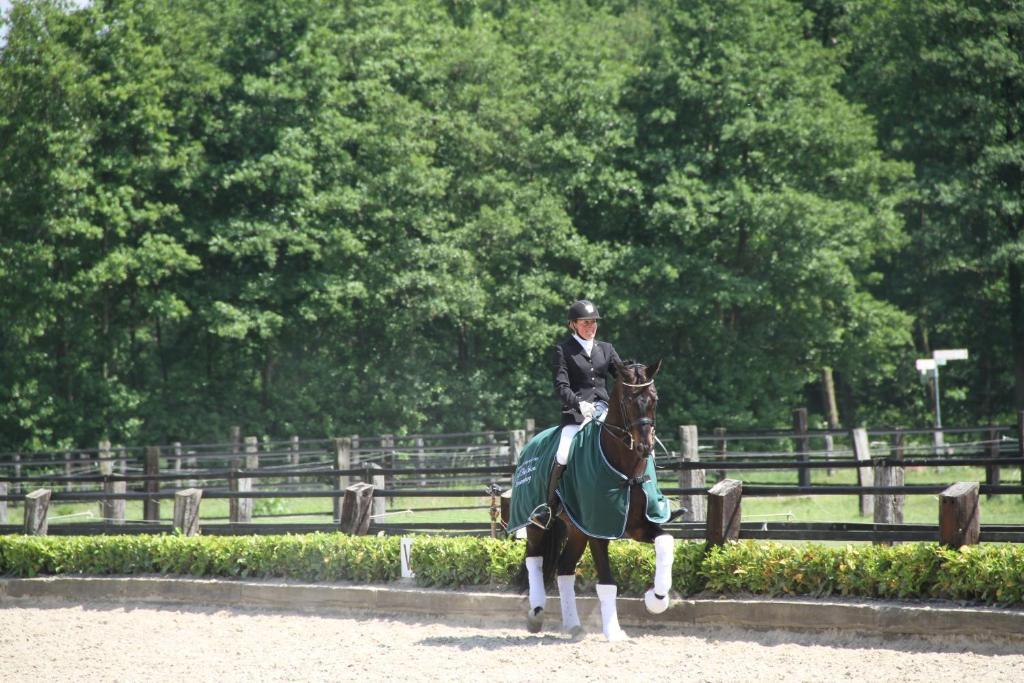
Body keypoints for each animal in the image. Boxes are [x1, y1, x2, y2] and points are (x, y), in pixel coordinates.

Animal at [512, 360, 671, 643]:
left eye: (655, 399)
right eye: (628, 400)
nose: (645, 447)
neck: (625, 469)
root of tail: (531, 442)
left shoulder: (638, 526)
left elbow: (666, 542)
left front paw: (656, 599)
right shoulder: (599, 529)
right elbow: (607, 583)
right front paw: (614, 632)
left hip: (577, 529)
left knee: (564, 569)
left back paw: (573, 626)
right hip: (534, 522)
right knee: (534, 559)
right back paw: (536, 612)